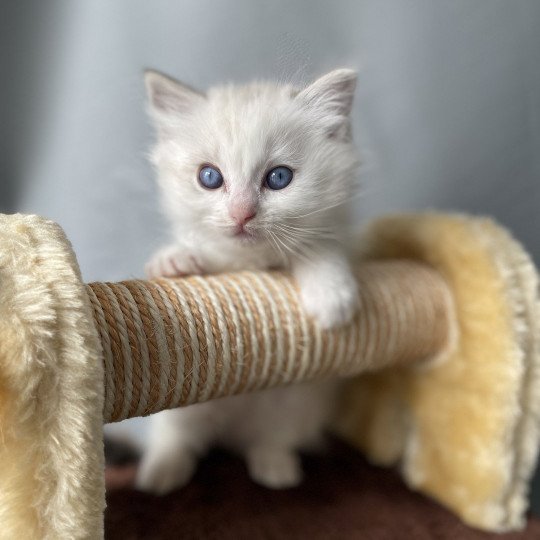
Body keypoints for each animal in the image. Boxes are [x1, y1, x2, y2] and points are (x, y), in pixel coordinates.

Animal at [137, 67, 360, 494]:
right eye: (209, 177)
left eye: (279, 177)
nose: (241, 213)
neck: (251, 263)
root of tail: (230, 433)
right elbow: (198, 257)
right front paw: (175, 260)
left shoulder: (337, 236)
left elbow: (318, 249)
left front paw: (331, 297)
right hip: (181, 405)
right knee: (178, 437)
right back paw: (161, 475)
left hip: (295, 403)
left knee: (270, 438)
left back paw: (276, 470)